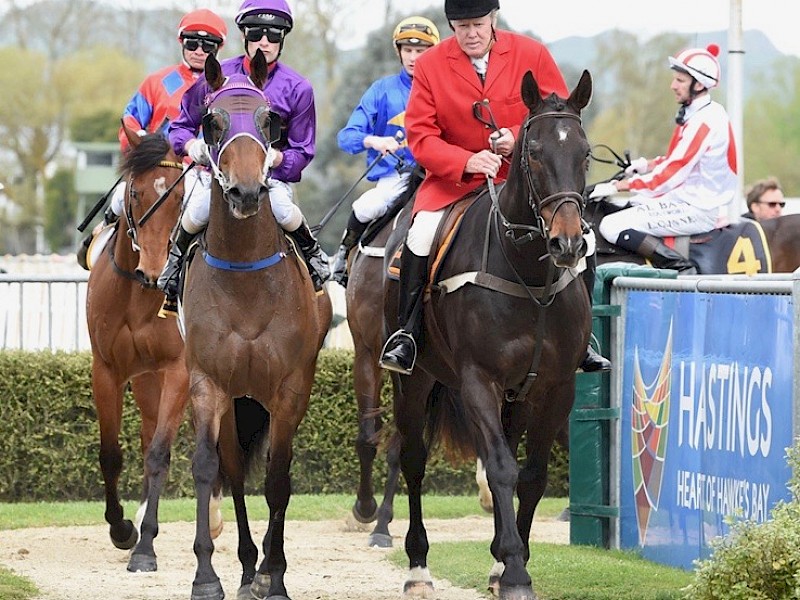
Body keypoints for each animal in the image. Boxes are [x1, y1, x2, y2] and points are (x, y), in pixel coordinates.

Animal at [181, 51, 332, 600]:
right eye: (210, 120)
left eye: (272, 121)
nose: (247, 191)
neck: (245, 280)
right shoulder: (208, 384)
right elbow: (210, 469)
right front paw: (207, 577)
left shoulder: (289, 389)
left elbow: (279, 480)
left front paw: (278, 575)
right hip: (237, 400)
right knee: (232, 468)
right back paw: (248, 568)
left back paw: (264, 569)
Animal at [382, 71, 592, 600]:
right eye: (532, 152)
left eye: (584, 153)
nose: (567, 243)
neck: (530, 276)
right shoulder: (479, 381)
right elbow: (499, 466)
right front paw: (515, 570)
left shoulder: (556, 387)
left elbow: (531, 475)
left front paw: (509, 561)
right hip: (412, 383)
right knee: (413, 459)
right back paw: (418, 567)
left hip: (517, 397)